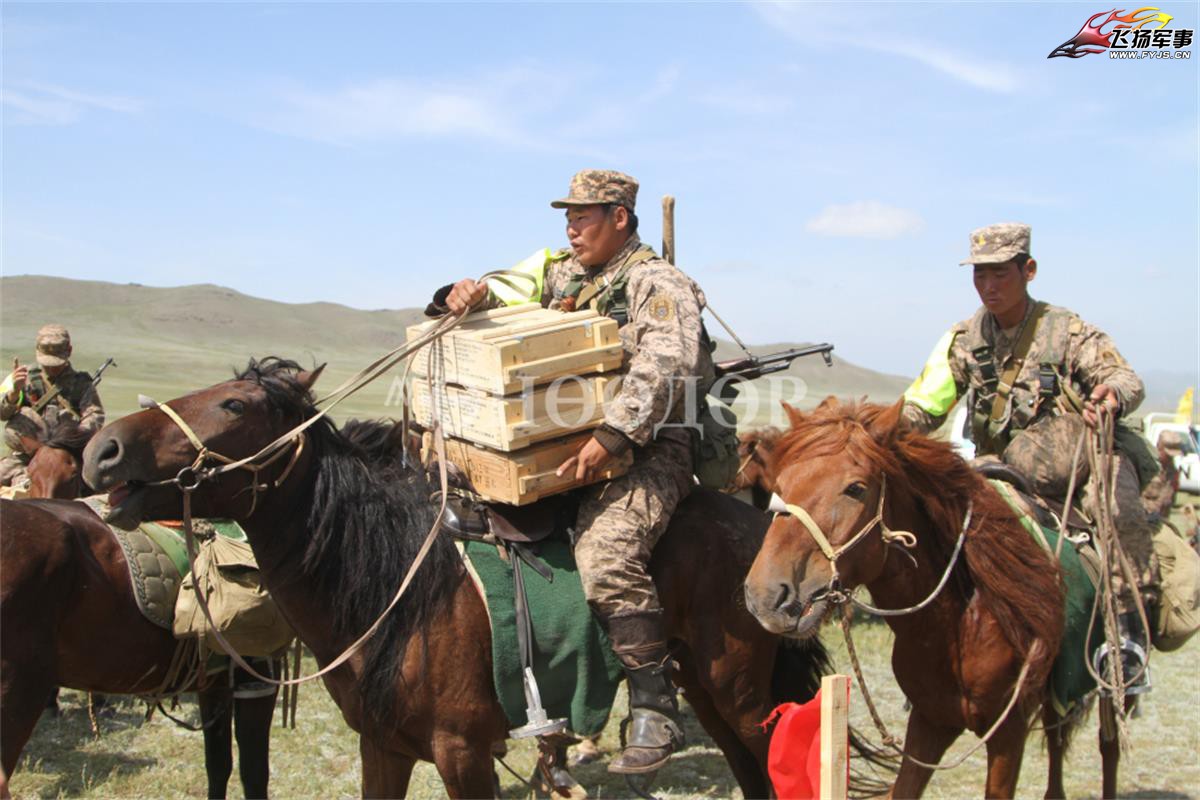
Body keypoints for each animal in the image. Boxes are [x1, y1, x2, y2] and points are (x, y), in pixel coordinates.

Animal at [3, 412, 278, 800]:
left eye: (71, 476)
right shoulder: (258, 678)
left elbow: (218, 766)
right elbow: (254, 774)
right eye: (31, 472)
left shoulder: (214, 680)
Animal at [79, 359, 844, 796]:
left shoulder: (463, 753)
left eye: (236, 406)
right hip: (708, 690)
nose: (102, 449)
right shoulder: (383, 748)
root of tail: (761, 529)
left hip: (740, 695)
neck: (395, 587)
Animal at [739, 400, 1089, 800]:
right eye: (780, 486)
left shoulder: (1008, 731)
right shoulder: (930, 720)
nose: (766, 596)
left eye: (856, 488)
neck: (960, 624)